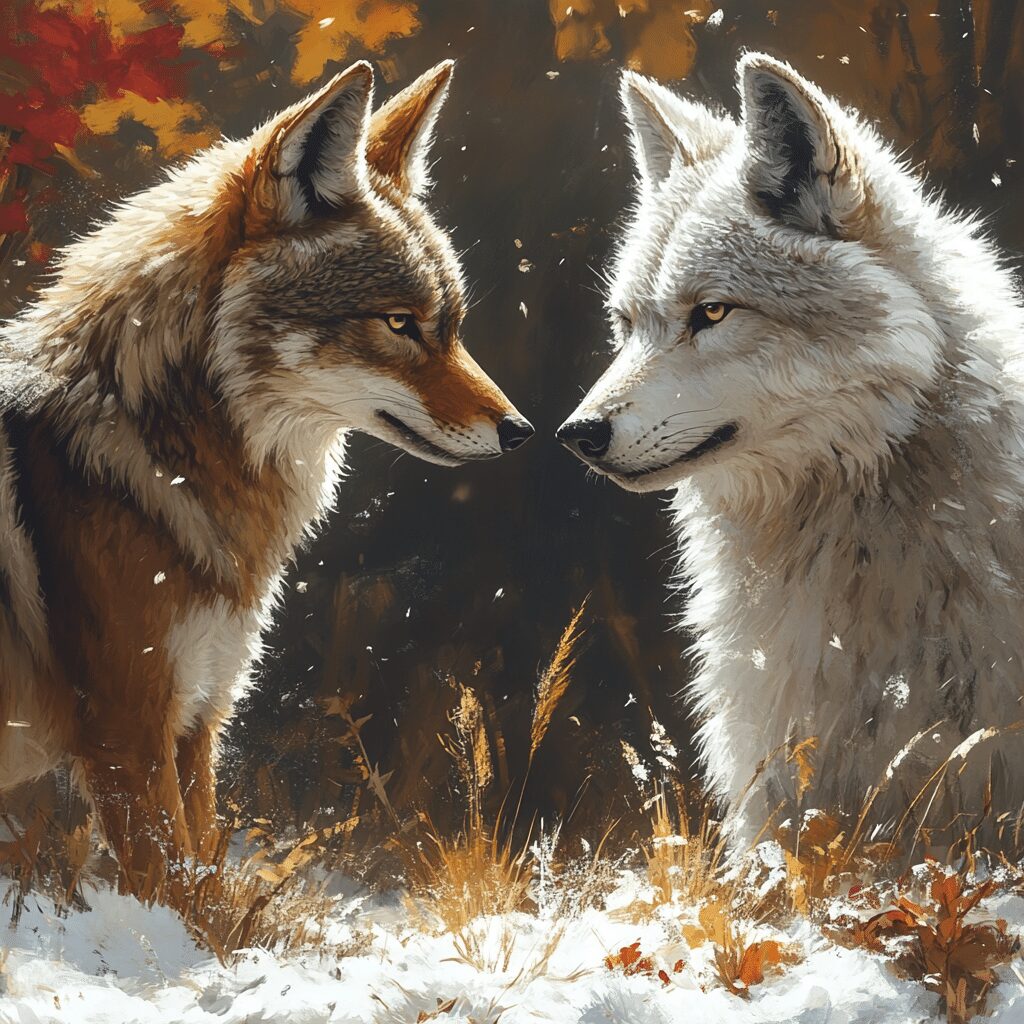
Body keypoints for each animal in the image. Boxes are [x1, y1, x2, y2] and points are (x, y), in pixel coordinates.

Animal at [0, 60, 533, 903]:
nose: (521, 431)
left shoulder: (196, 721)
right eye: (398, 323)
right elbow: (172, 893)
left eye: (449, 325)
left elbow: (204, 877)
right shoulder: (128, 736)